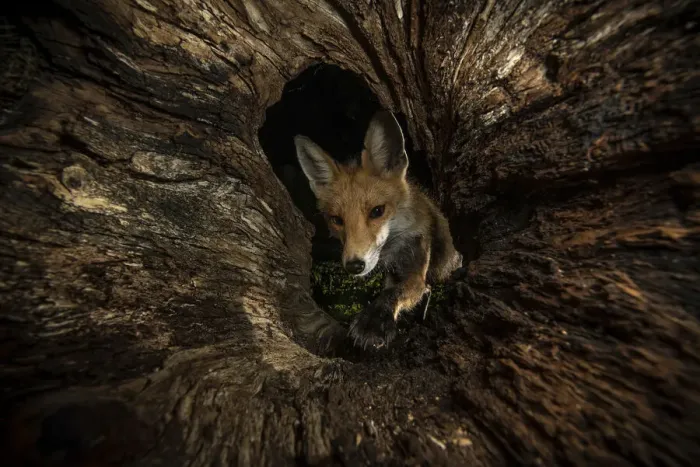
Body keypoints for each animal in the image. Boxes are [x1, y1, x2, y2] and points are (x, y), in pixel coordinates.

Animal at [294, 110, 462, 349]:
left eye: (377, 211)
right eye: (336, 220)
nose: (354, 265)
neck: (392, 252)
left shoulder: (416, 268)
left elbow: (396, 292)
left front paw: (372, 322)